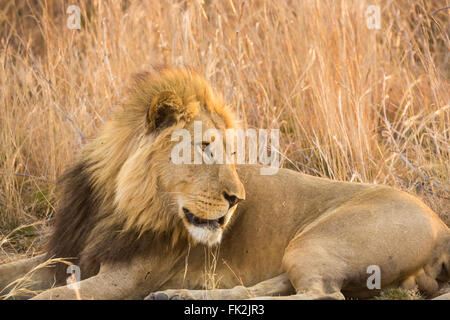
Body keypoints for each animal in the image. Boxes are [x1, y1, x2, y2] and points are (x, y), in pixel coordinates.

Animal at [0, 68, 450, 300]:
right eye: (204, 148)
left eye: (231, 152)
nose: (237, 199)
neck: (118, 201)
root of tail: (441, 225)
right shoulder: (63, 255)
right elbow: (15, 273)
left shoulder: (127, 278)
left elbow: (50, 297)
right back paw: (180, 296)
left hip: (317, 239)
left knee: (322, 294)